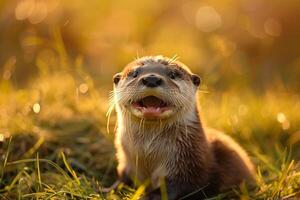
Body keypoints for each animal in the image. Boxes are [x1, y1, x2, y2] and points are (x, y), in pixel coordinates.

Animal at [109, 55, 254, 199]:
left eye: (173, 74)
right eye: (134, 73)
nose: (151, 79)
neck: (148, 155)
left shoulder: (189, 166)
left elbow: (178, 188)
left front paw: (144, 196)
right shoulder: (127, 162)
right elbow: (122, 179)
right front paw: (110, 190)